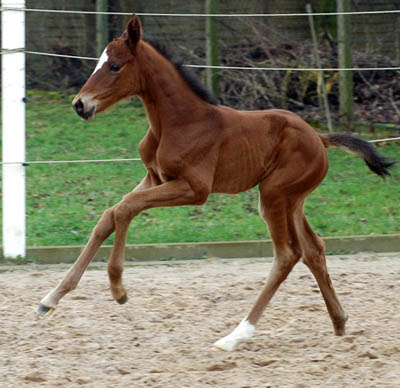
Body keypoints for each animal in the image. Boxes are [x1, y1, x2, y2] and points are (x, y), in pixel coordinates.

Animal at [37, 15, 394, 352]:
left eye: (115, 65)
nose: (80, 104)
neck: (179, 121)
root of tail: (319, 138)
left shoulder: (195, 189)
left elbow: (125, 209)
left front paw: (118, 288)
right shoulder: (154, 177)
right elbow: (109, 215)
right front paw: (51, 298)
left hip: (273, 196)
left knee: (287, 254)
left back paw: (236, 336)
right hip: (293, 200)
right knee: (313, 249)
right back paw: (339, 322)